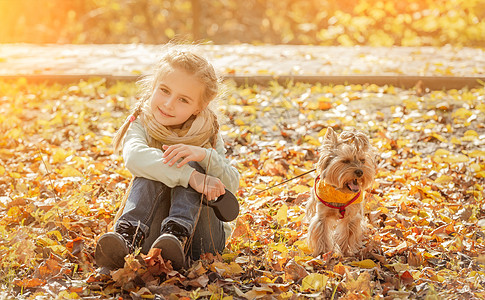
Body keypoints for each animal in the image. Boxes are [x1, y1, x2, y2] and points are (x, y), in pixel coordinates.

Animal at [304, 126, 376, 255]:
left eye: (362, 160)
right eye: (345, 161)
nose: (360, 172)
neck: (340, 193)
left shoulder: (351, 217)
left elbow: (347, 234)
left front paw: (345, 251)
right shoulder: (322, 216)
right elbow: (322, 234)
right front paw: (323, 253)